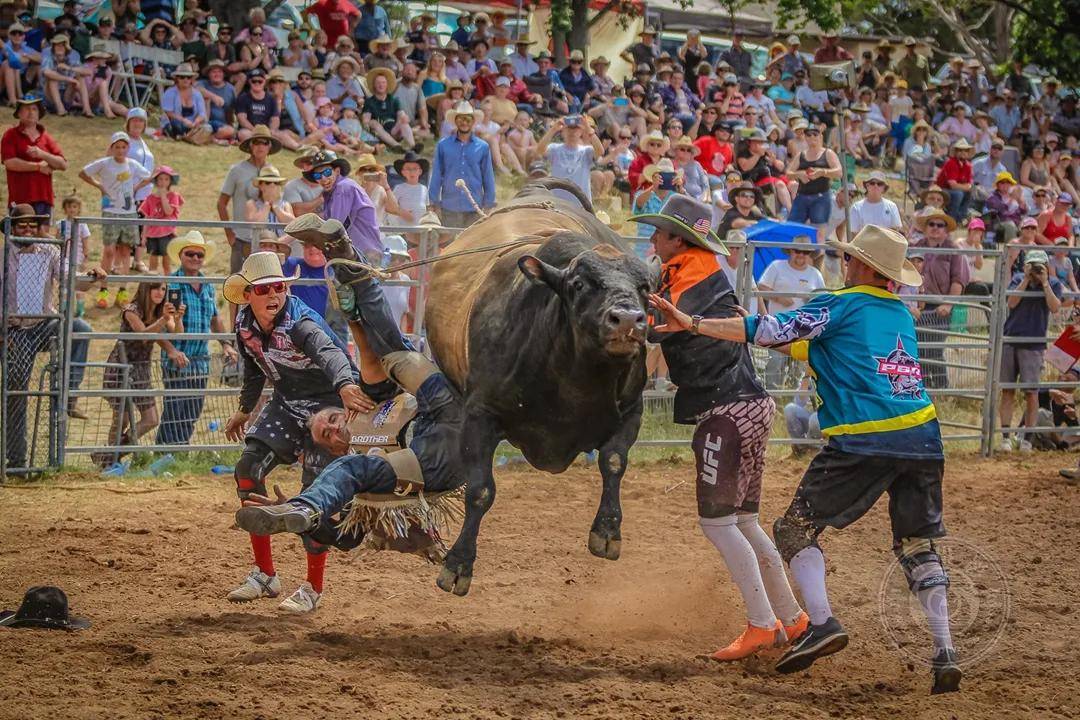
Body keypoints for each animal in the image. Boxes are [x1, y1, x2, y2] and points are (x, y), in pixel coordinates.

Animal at [425, 181, 652, 595]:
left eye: (645, 287)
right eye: (579, 284)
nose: (628, 320)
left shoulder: (631, 409)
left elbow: (614, 461)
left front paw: (607, 532)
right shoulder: (479, 415)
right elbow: (480, 490)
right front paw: (458, 564)